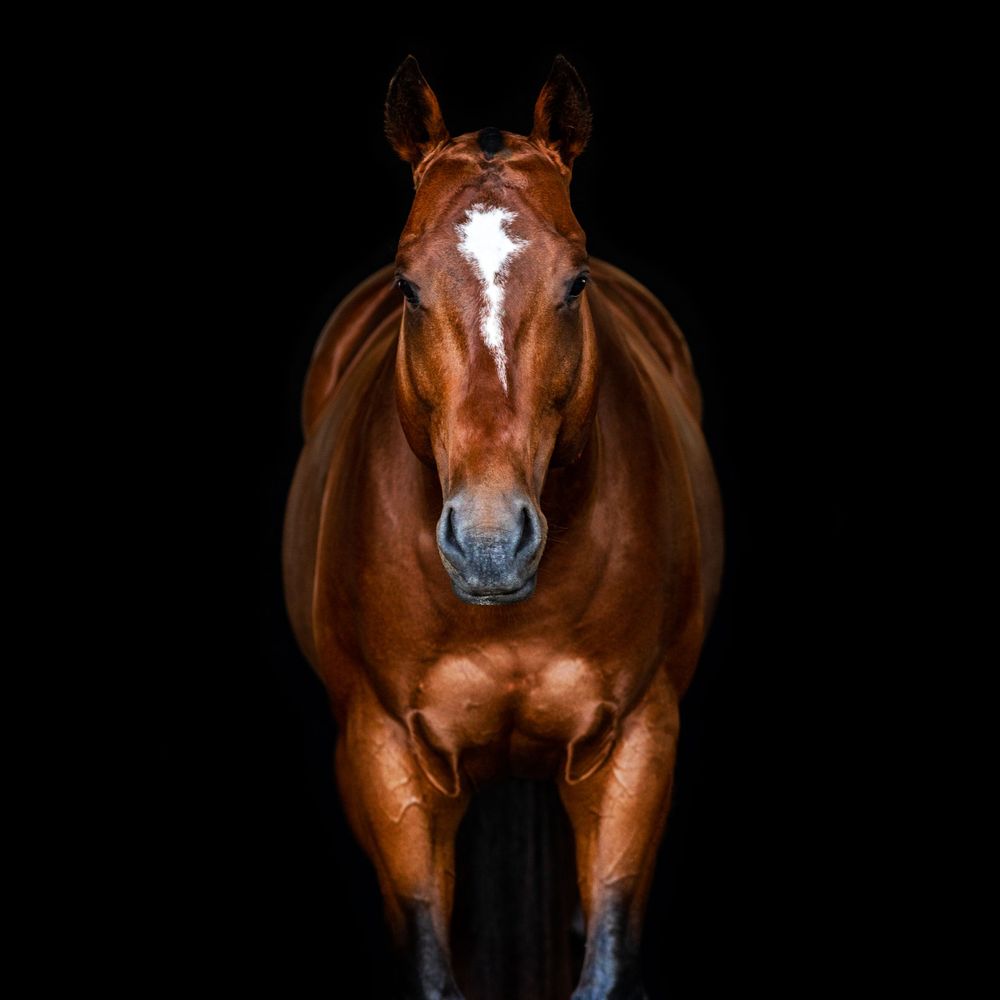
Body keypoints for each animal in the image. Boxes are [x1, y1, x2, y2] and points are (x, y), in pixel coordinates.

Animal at [283, 55, 724, 1000]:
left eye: (576, 281)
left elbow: (604, 960)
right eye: (407, 284)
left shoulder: (637, 747)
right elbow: (432, 962)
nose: (489, 542)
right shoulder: (384, 757)